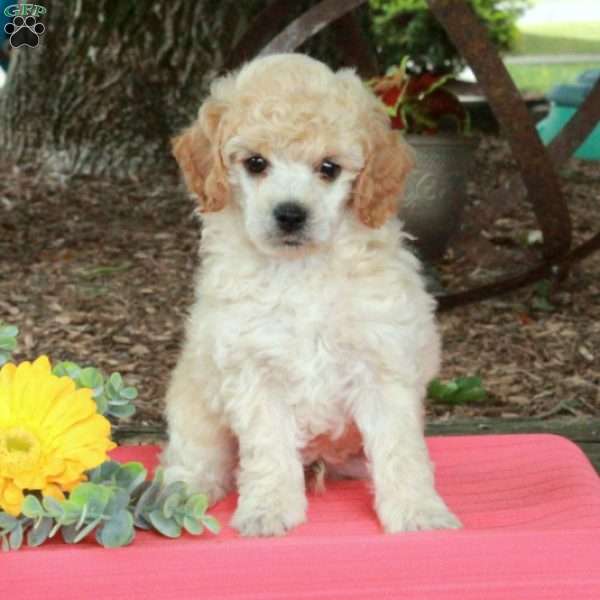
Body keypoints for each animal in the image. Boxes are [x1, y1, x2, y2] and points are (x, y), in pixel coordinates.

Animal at [162, 54, 462, 536]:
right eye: (256, 163)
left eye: (329, 168)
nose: (290, 214)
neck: (301, 271)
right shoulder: (254, 370)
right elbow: (267, 449)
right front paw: (267, 510)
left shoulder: (382, 363)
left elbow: (401, 451)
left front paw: (419, 512)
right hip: (196, 402)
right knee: (193, 456)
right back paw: (184, 490)